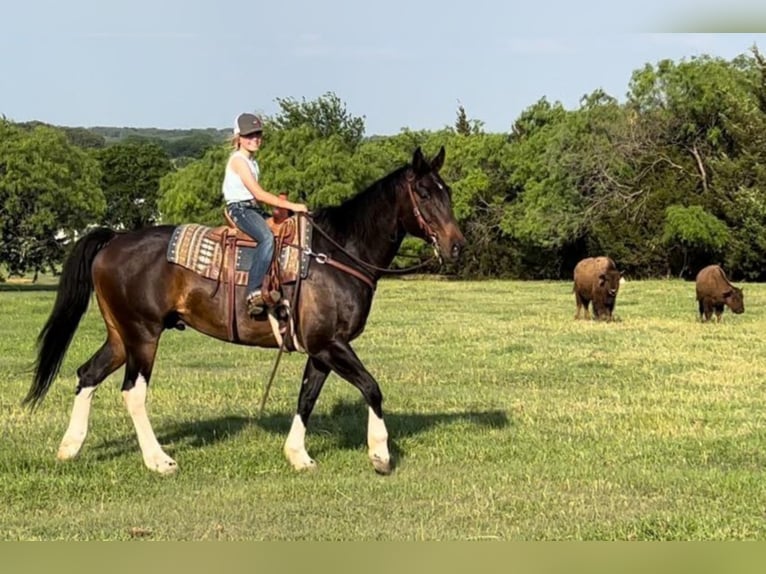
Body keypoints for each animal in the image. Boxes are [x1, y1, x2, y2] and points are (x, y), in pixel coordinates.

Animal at [27, 147, 464, 476]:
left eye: (448, 192)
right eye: (425, 193)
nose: (457, 245)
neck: (337, 253)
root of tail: (115, 238)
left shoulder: (320, 350)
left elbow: (307, 397)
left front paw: (298, 456)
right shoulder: (331, 344)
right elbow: (372, 387)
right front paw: (380, 454)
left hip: (120, 336)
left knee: (87, 374)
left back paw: (70, 448)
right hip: (143, 336)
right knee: (133, 392)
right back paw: (159, 460)